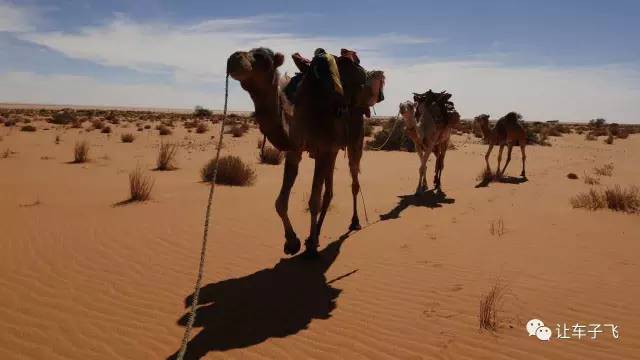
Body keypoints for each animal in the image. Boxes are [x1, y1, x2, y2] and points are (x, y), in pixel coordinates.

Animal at [226, 47, 384, 256]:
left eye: (263, 58)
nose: (234, 58)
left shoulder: (322, 148)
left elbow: (313, 201)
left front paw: (308, 249)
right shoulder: (296, 151)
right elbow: (280, 202)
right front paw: (292, 242)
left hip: (355, 140)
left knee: (354, 180)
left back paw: (354, 222)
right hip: (333, 150)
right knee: (329, 191)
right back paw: (315, 234)